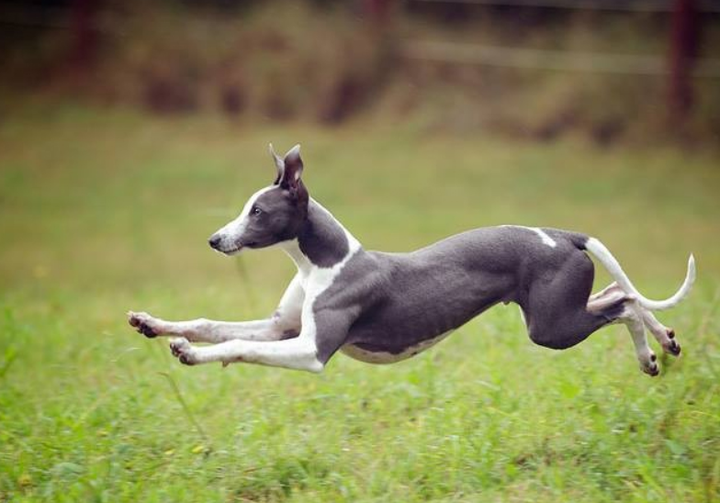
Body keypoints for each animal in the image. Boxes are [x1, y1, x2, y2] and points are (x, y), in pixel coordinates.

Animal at [129, 144, 696, 376]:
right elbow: (213, 324)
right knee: (619, 293)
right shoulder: (281, 328)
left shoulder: (310, 351)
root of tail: (564, 234)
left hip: (551, 326)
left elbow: (239, 347)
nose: (214, 240)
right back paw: (664, 344)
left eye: (258, 211)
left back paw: (650, 355)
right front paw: (151, 323)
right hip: (561, 311)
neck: (322, 264)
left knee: (624, 304)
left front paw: (190, 354)